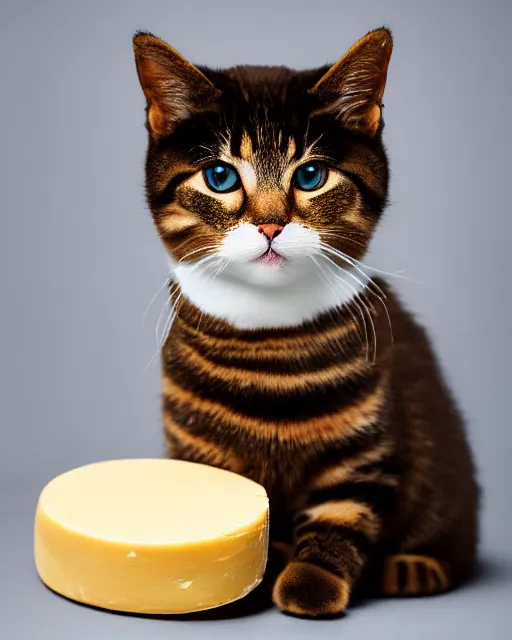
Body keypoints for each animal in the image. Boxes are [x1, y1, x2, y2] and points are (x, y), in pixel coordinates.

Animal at [133, 27, 480, 616]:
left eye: (311, 175)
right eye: (220, 176)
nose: (271, 223)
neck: (268, 334)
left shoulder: (363, 454)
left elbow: (341, 517)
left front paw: (309, 580)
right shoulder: (199, 451)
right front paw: (244, 578)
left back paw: (412, 567)